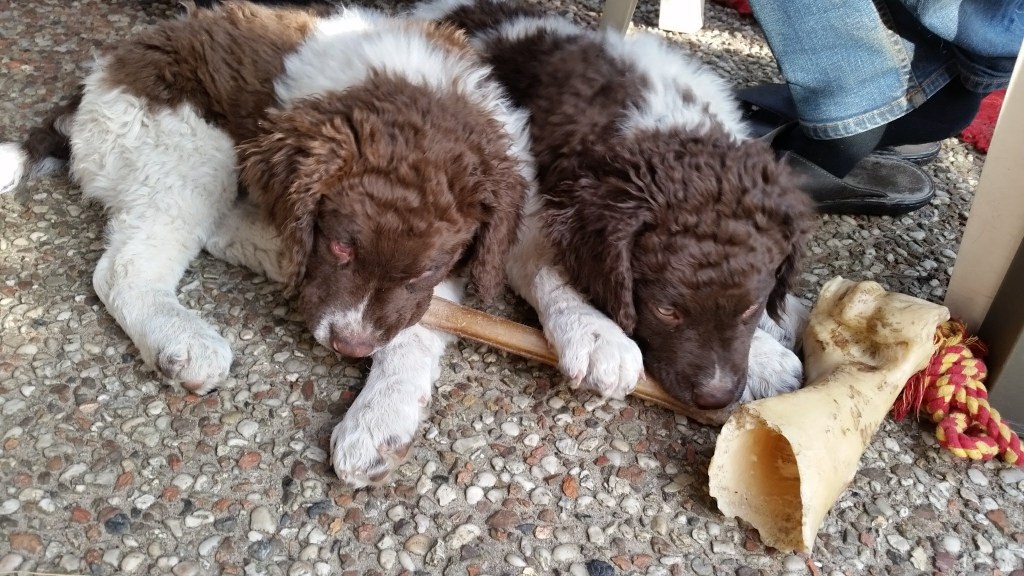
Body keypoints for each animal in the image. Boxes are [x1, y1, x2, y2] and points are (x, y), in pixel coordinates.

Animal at [0, 1, 534, 487]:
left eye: (425, 269)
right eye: (340, 247)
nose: (349, 346)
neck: (411, 86)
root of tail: (94, 85)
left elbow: (416, 324)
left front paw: (379, 420)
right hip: (183, 142)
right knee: (126, 267)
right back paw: (183, 338)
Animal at [413, 0, 817, 410]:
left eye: (752, 306)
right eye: (665, 310)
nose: (714, 398)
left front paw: (767, 350)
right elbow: (545, 266)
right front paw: (596, 334)